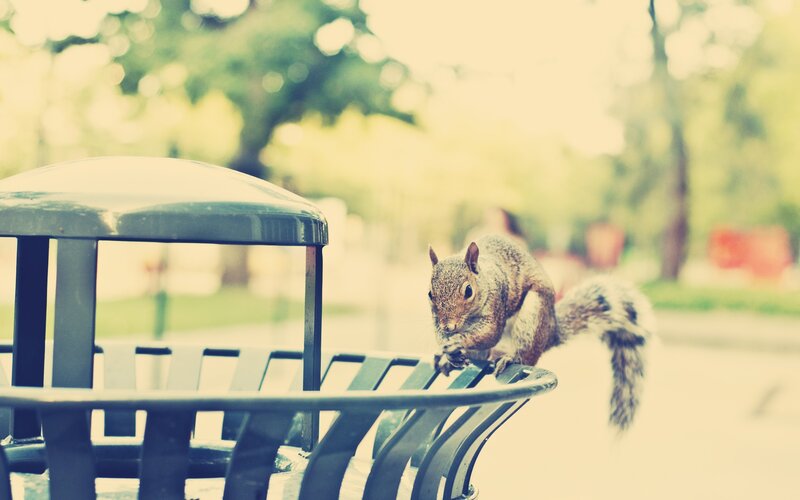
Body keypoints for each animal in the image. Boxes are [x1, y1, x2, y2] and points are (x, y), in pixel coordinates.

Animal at [427, 234, 655, 431]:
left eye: (468, 291)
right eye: (430, 294)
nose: (449, 327)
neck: (485, 279)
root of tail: (550, 332)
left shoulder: (496, 303)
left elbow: (489, 332)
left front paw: (458, 342)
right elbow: (439, 334)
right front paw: (445, 350)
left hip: (532, 318)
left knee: (526, 357)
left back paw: (509, 358)